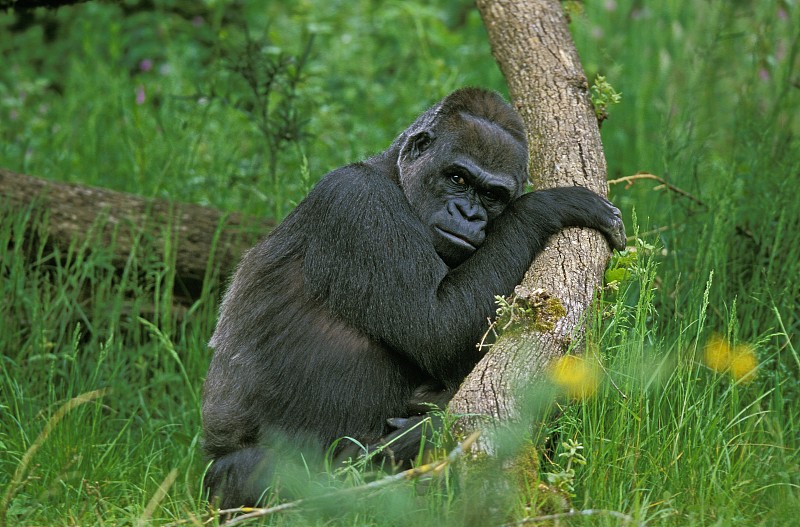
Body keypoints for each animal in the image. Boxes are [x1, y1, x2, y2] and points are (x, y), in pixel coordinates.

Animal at [200, 88, 624, 510]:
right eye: (457, 178)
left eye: (492, 195)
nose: (468, 214)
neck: (395, 176)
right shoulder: (358, 200)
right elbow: (436, 327)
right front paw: (545, 205)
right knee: (265, 474)